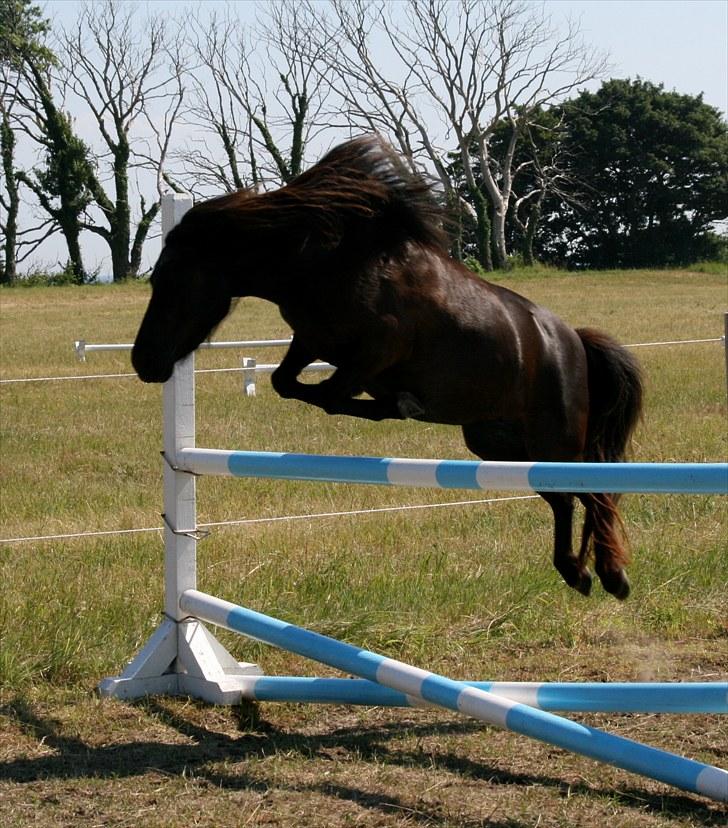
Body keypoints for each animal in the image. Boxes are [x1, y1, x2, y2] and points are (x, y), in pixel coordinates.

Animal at [131, 136, 644, 600]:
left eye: (171, 279)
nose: (143, 362)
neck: (327, 261)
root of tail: (573, 339)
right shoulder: (313, 341)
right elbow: (287, 383)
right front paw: (396, 403)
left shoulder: (378, 348)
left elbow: (331, 395)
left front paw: (401, 403)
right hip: (501, 446)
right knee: (565, 499)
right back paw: (578, 572)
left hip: (555, 442)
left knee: (596, 492)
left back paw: (611, 575)